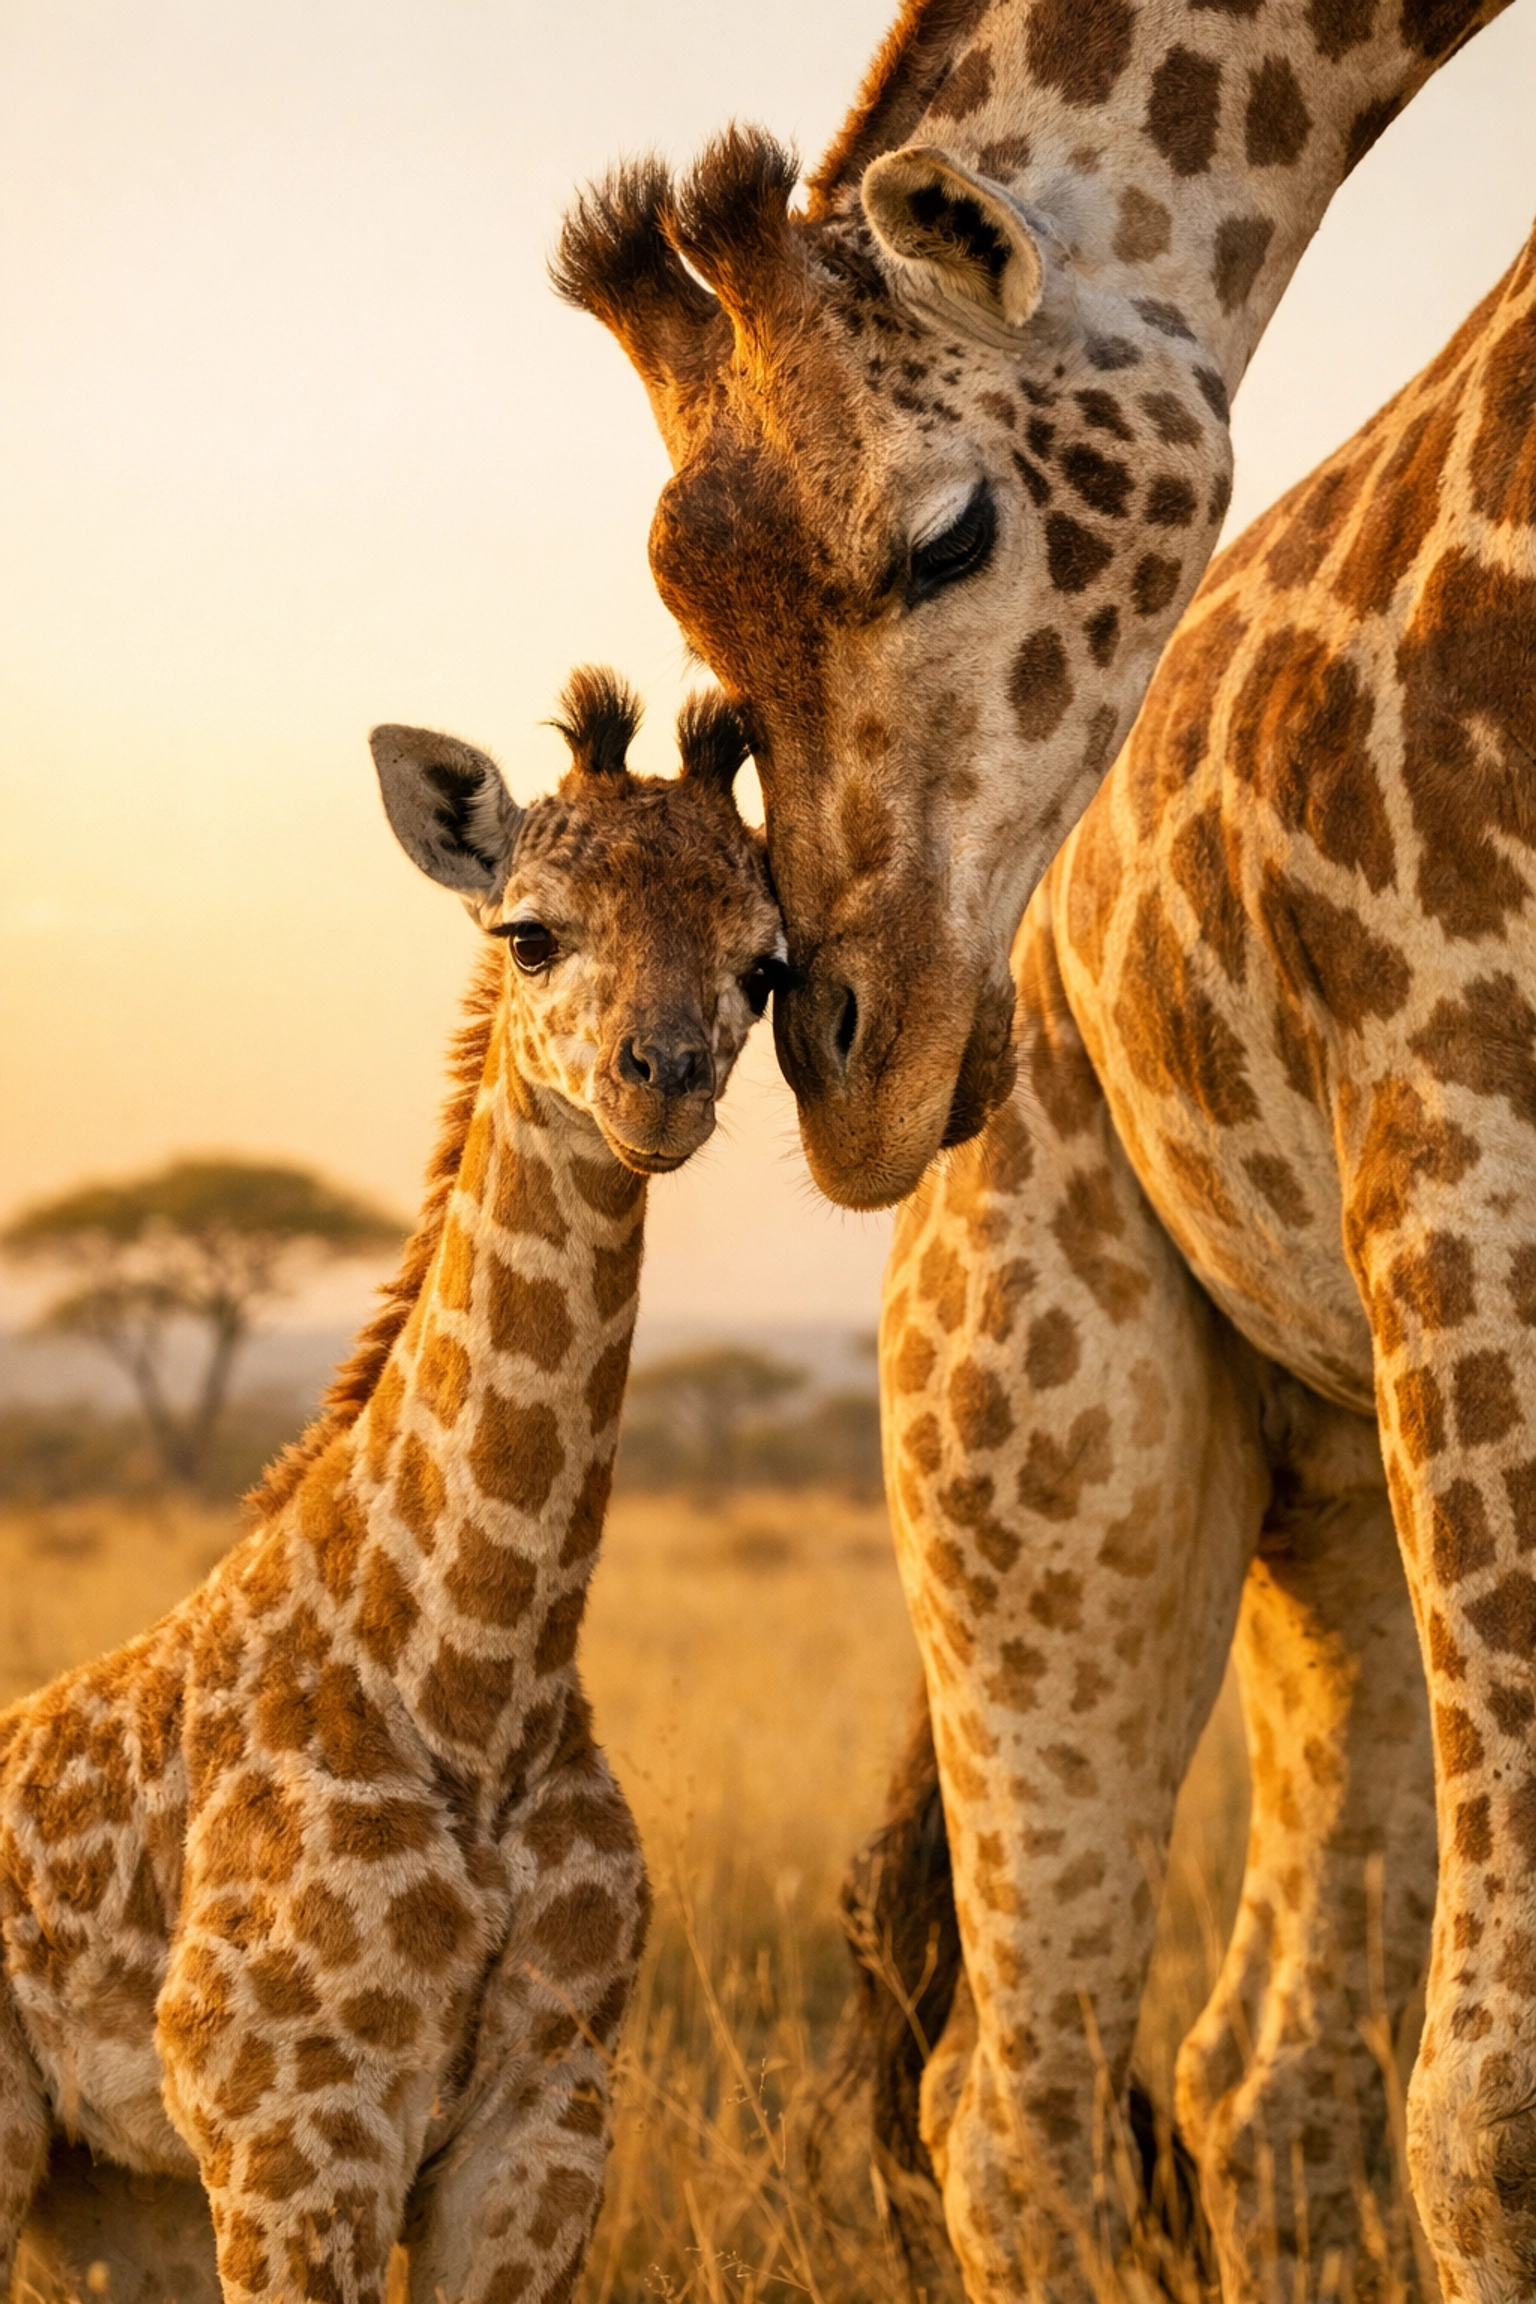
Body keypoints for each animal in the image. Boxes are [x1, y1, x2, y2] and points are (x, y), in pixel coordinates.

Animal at [0, 670, 784, 2304]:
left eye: (766, 966)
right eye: (531, 932)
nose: (663, 1085)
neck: (478, 1688)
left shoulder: (549, 2119)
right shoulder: (298, 2129)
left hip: (113, 2195)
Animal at [837, 211, 1536, 2304]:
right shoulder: (1471, 1146)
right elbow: (1500, 2107)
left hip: (1344, 1485)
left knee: (1265, 2073)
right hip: (1046, 1441)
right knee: (1017, 2099)